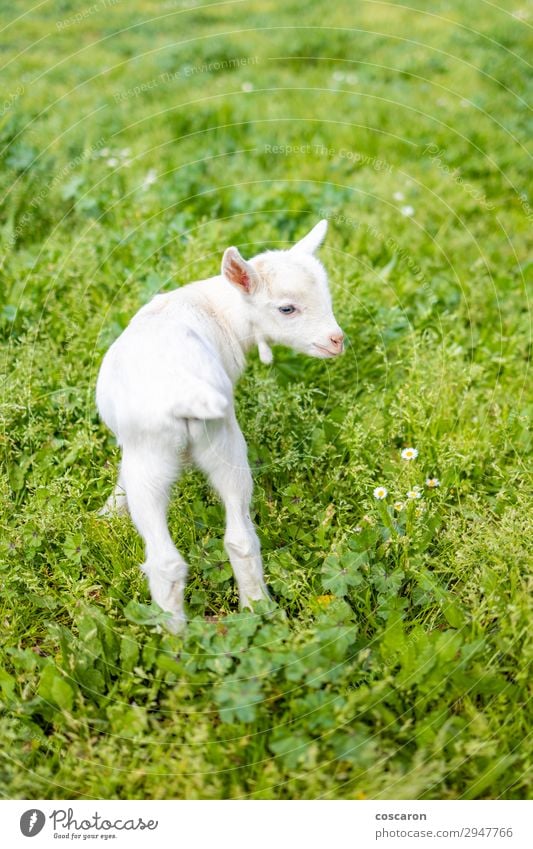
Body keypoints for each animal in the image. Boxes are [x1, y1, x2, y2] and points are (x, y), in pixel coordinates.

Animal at [96, 219, 342, 628]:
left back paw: (173, 639)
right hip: (221, 444)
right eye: (287, 308)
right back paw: (257, 608)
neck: (219, 311)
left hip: (156, 455)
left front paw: (109, 510)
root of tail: (189, 391)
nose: (337, 340)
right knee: (240, 539)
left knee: (165, 561)